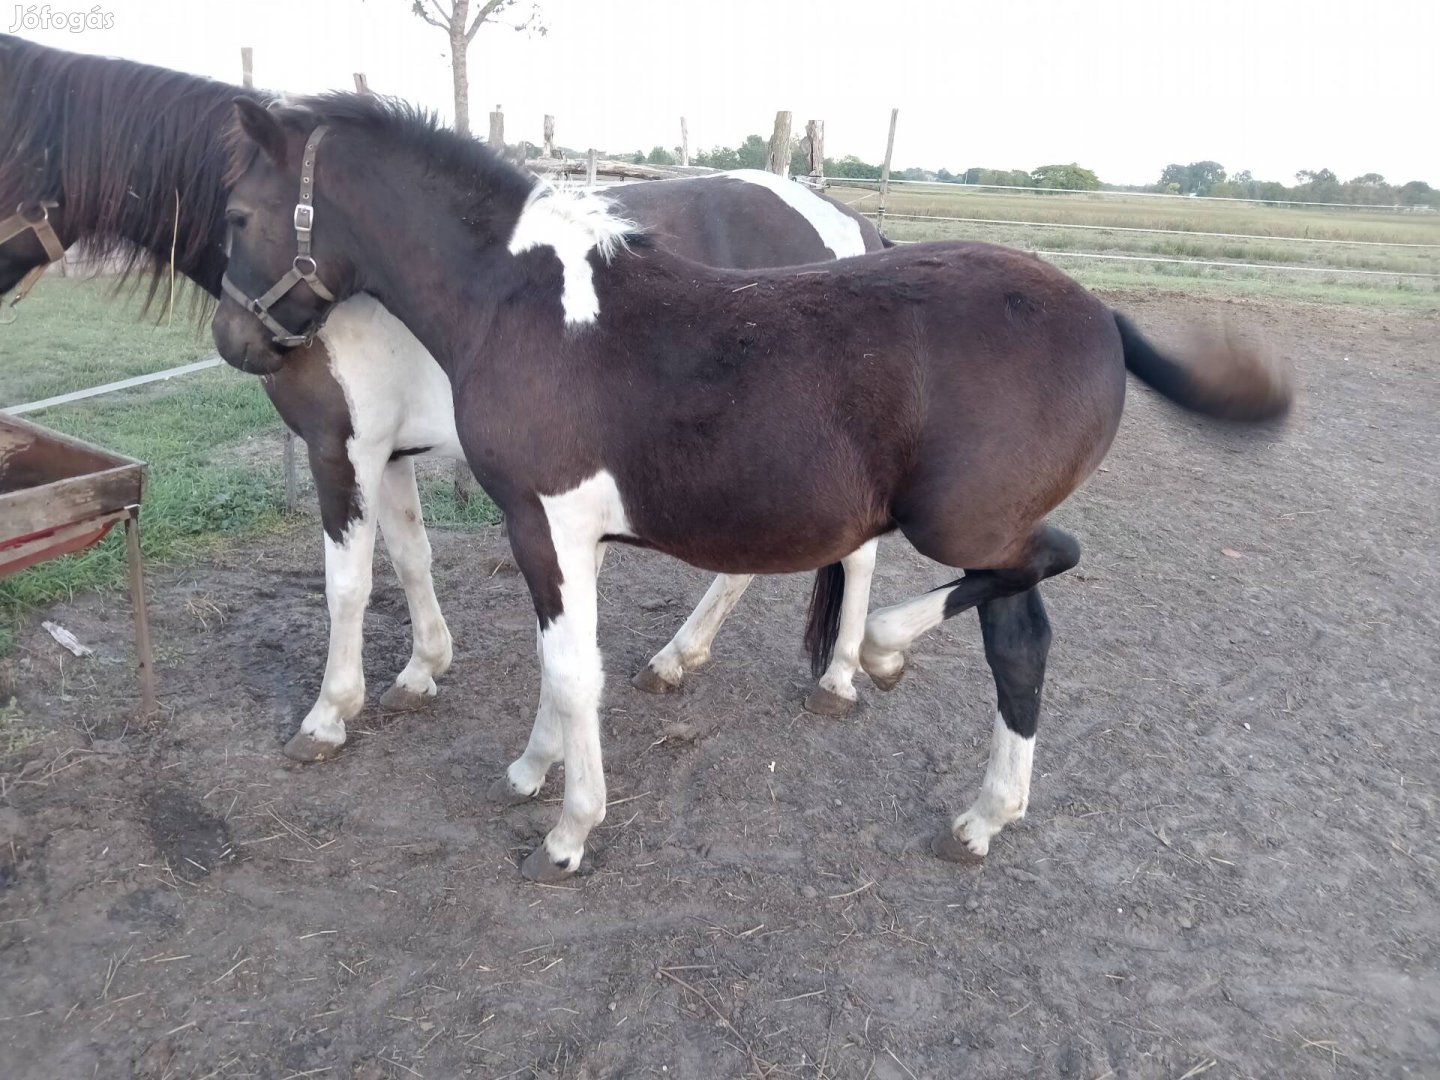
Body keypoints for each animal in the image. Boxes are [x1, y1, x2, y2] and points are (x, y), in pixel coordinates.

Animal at [0, 36, 892, 760]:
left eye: (241, 215)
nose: (236, 340)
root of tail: (849, 222)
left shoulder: (340, 449)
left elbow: (348, 581)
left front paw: (329, 714)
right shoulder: (388, 452)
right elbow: (410, 556)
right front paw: (422, 670)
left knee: (848, 551)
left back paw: (831, 675)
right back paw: (686, 659)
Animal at [216, 97, 1296, 881]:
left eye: (235, 214)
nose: (236, 342)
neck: (525, 307)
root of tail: (1103, 318)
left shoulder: (542, 521)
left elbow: (568, 670)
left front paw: (570, 829)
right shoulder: (564, 535)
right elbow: (565, 662)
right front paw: (534, 767)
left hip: (965, 523)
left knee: (1041, 573)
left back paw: (885, 654)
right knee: (1021, 639)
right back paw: (981, 812)